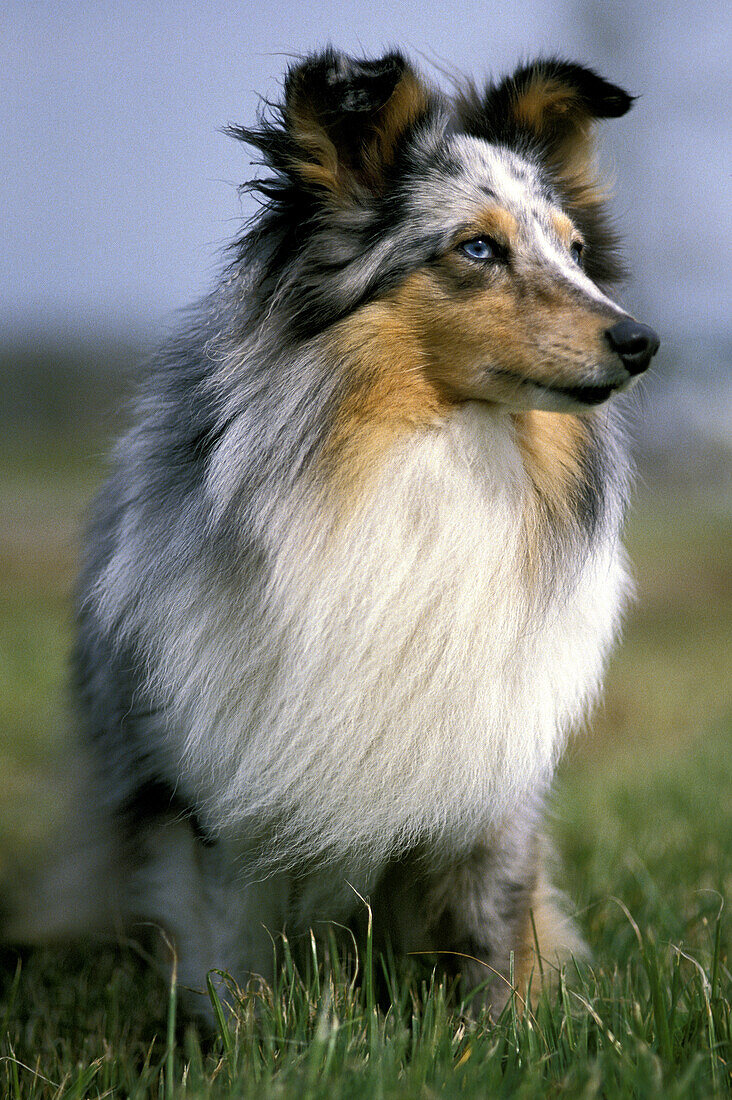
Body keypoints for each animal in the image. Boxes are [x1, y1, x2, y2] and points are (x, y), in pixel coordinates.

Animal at [21, 49, 656, 1012]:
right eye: (478, 248)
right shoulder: (222, 793)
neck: (431, 460)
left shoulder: (492, 778)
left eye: (576, 252)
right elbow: (238, 962)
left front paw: (501, 1032)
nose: (642, 342)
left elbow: (494, 934)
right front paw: (246, 1039)